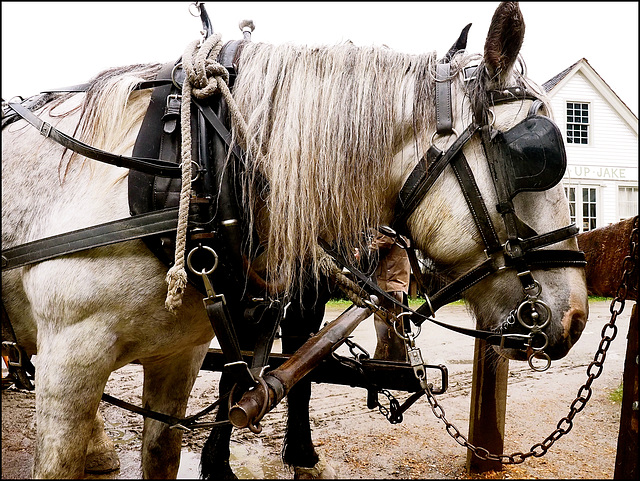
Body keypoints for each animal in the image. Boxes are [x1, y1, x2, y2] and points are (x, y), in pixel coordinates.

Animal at [2, 1, 588, 478]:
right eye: (534, 156)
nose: (578, 316)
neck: (193, 173)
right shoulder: (70, 358)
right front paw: (223, 463)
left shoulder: (184, 352)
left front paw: (288, 454)